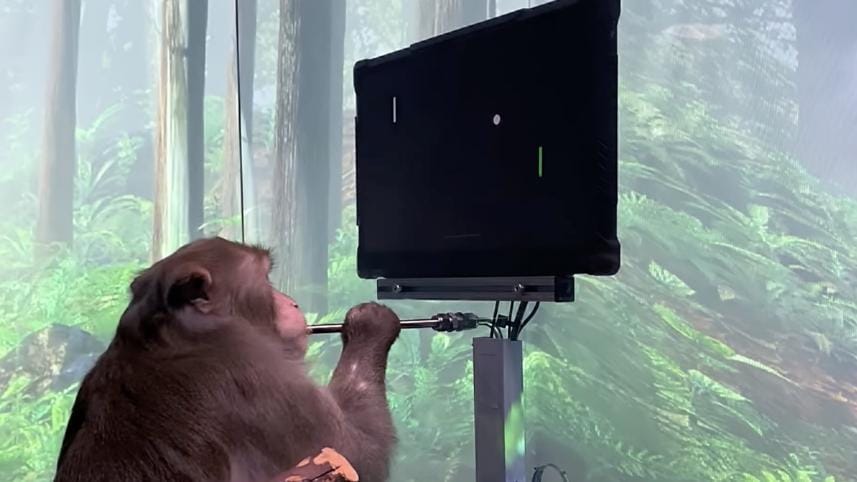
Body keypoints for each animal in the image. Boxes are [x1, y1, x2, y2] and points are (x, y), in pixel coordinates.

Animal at [54, 237, 400, 482]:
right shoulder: (260, 375)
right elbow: (359, 452)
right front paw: (369, 324)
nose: (293, 303)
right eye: (266, 278)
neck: (179, 334)